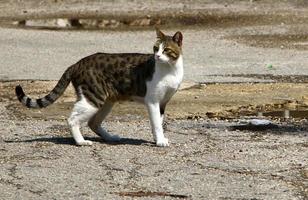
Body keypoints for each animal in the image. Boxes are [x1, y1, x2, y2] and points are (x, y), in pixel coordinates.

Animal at [15, 28, 183, 147]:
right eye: (155, 48)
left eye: (166, 50)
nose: (157, 57)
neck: (171, 69)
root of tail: (77, 63)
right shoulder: (153, 101)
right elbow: (156, 124)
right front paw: (160, 141)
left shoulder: (163, 103)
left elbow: (159, 122)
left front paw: (158, 139)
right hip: (92, 99)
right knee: (72, 119)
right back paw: (81, 141)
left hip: (107, 102)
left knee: (93, 123)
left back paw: (110, 138)